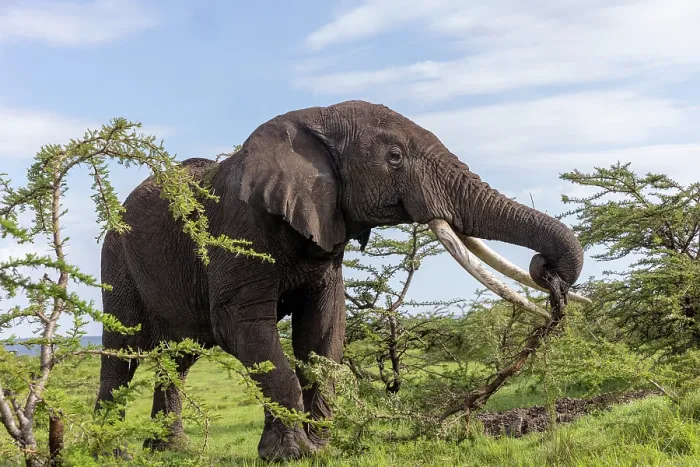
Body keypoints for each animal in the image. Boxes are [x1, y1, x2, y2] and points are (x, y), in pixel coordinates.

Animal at [95, 100, 586, 461]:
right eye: (394, 158)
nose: (546, 270)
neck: (312, 120)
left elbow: (324, 329)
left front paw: (319, 447)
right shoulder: (240, 229)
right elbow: (243, 327)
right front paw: (292, 455)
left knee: (180, 357)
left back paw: (167, 450)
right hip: (115, 259)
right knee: (123, 351)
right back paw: (113, 453)